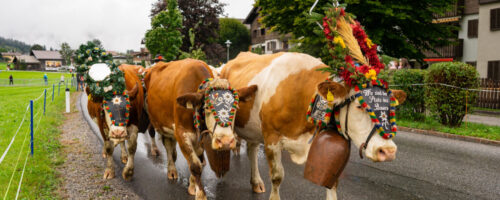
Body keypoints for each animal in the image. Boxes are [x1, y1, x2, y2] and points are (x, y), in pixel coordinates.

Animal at [143, 58, 256, 199]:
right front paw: (200, 194)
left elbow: (197, 158)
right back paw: (171, 169)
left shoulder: (199, 136)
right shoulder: (181, 133)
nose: (225, 142)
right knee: (167, 145)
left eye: (236, 108)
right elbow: (195, 165)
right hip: (159, 123)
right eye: (207, 107)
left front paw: (192, 186)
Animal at [220, 52, 406, 200]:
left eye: (392, 107)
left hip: (253, 128)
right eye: (360, 106)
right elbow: (277, 176)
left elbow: (332, 183)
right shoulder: (271, 138)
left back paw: (256, 182)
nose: (388, 151)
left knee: (251, 149)